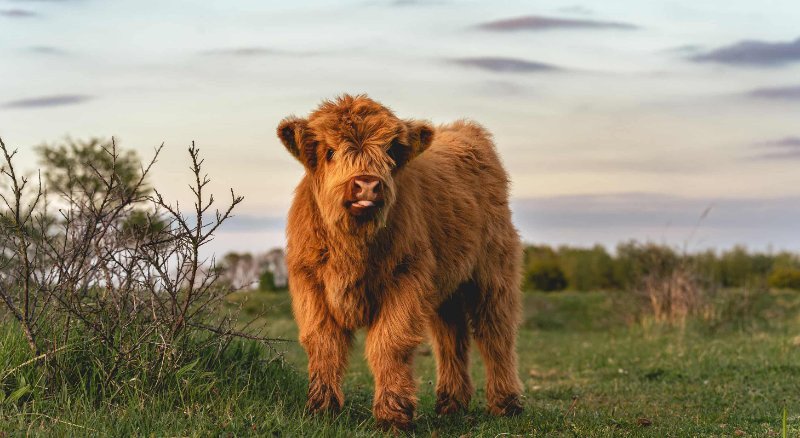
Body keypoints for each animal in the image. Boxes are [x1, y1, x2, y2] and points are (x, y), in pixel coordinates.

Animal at [276, 94, 524, 430]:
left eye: (390, 151)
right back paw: (452, 403)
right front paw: (321, 409)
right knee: (451, 337)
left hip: (492, 274)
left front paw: (392, 415)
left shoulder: (406, 280)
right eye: (330, 151)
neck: (353, 246)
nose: (366, 185)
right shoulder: (310, 284)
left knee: (495, 333)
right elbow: (323, 343)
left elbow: (390, 343)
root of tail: (465, 130)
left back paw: (505, 404)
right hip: (447, 287)